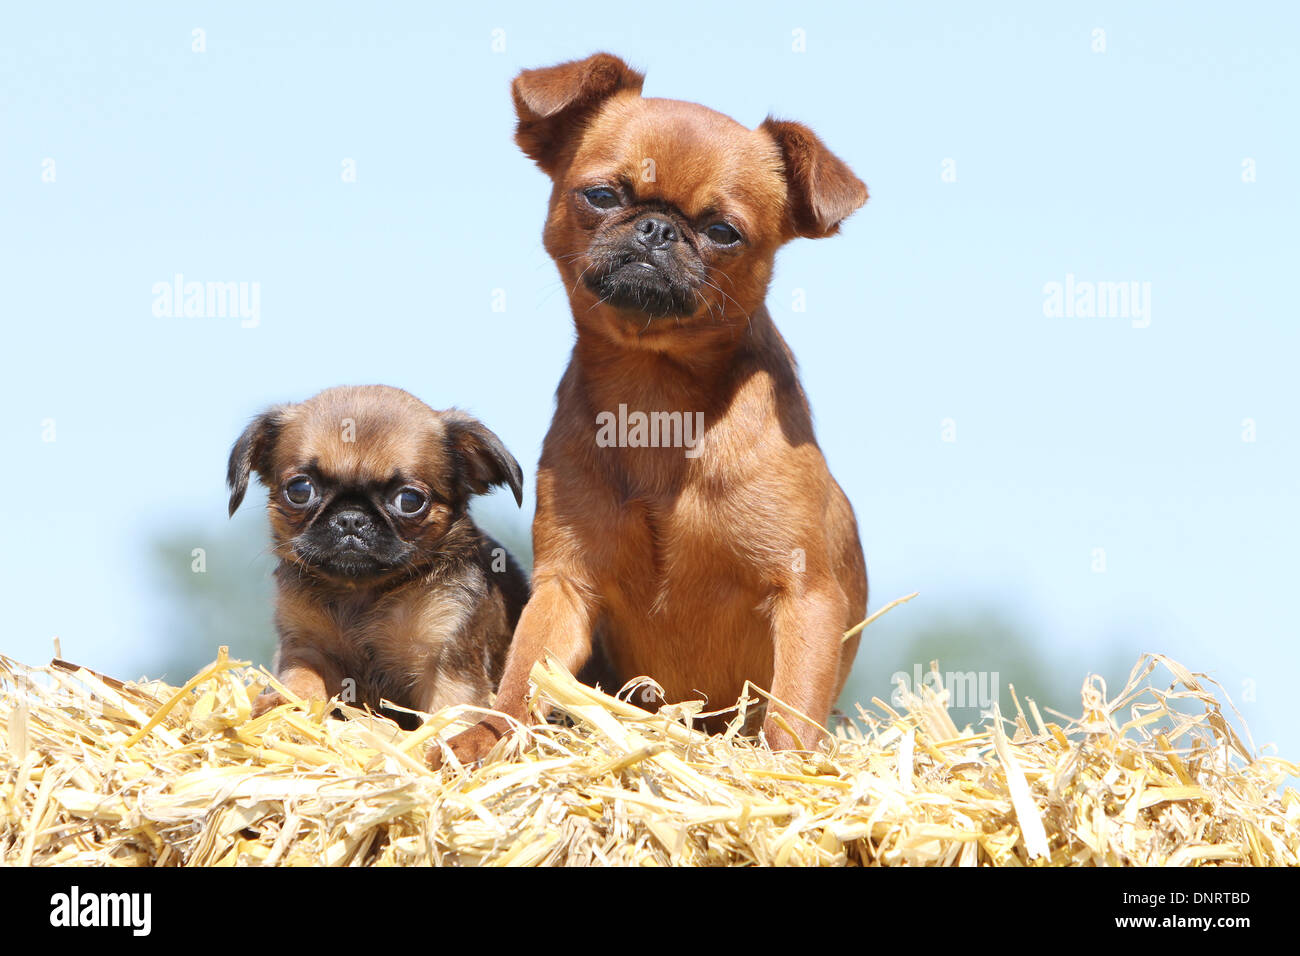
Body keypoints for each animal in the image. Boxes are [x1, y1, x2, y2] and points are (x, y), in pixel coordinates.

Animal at [228, 385, 527, 728]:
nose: (350, 518)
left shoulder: (447, 662)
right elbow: (301, 681)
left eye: (409, 500)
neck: (361, 595)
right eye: (300, 490)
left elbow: (449, 712)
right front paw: (281, 706)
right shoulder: (306, 647)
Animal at [439, 55, 873, 764]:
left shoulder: (805, 595)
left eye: (723, 232)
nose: (658, 228)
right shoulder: (564, 587)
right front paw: (488, 736)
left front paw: (787, 766)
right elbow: (526, 673)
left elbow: (791, 713)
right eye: (602, 196)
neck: (656, 399)